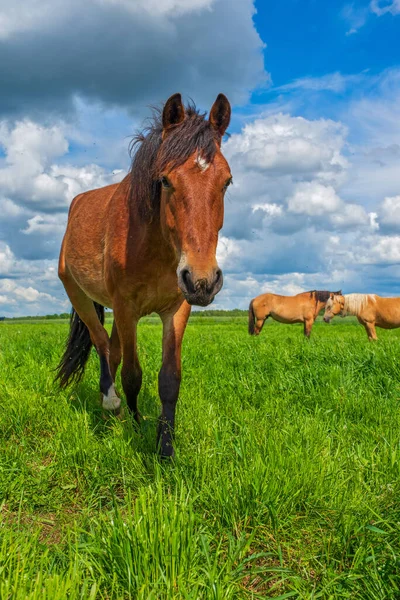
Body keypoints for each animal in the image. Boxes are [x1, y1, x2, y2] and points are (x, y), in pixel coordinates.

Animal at [55, 94, 231, 458]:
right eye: (165, 180)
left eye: (227, 181)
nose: (203, 280)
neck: (154, 245)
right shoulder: (126, 308)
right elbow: (132, 375)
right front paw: (136, 427)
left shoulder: (177, 308)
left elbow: (169, 379)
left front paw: (165, 448)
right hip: (79, 296)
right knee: (101, 343)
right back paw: (111, 404)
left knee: (112, 348)